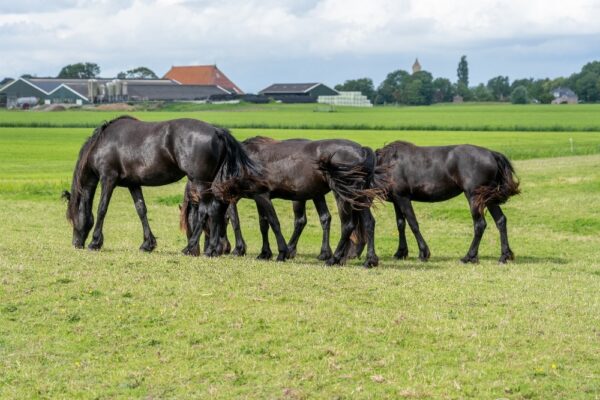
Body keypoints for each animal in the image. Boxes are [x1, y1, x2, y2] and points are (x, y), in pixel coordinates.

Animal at [62, 115, 258, 256]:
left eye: (72, 218)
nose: (75, 243)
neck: (102, 143)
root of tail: (217, 131)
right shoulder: (133, 184)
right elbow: (141, 210)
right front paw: (147, 244)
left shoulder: (108, 179)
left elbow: (102, 209)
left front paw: (95, 242)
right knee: (218, 209)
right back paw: (213, 250)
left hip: (201, 182)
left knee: (205, 211)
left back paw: (192, 247)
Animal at [180, 138, 384, 268]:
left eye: (197, 221)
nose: (193, 250)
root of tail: (363, 150)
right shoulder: (258, 198)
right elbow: (263, 224)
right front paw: (264, 253)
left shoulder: (261, 195)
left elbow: (273, 223)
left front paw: (281, 253)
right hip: (358, 196)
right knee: (368, 222)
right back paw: (369, 260)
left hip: (343, 194)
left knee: (347, 225)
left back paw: (333, 259)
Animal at [376, 142, 520, 264]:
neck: (388, 163)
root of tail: (492, 154)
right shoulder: (397, 200)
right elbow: (401, 224)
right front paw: (401, 252)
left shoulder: (403, 198)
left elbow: (413, 224)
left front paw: (423, 253)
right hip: (488, 198)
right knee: (500, 220)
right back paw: (504, 256)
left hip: (474, 197)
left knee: (480, 224)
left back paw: (469, 256)